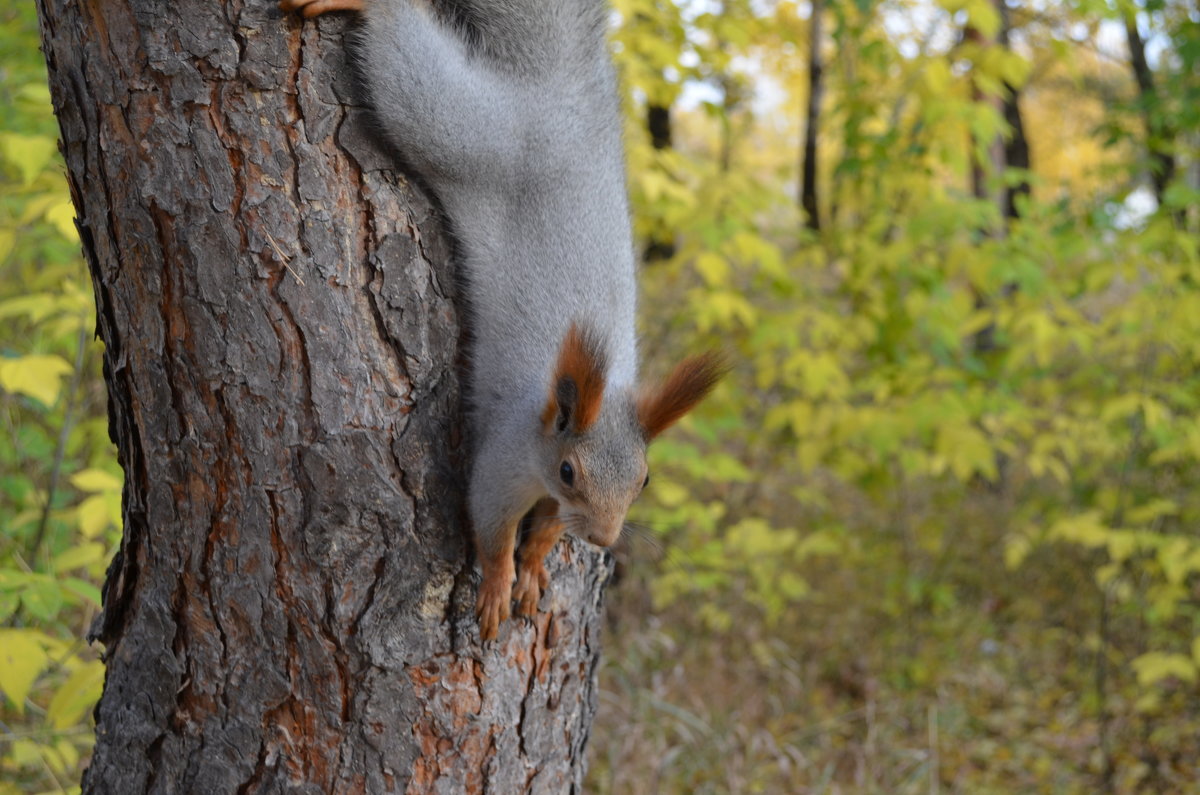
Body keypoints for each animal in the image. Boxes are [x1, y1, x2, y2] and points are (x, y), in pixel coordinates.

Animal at [280, 0, 720, 643]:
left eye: (644, 480)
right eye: (568, 471)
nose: (605, 539)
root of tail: (555, 89)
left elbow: (546, 532)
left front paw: (534, 567)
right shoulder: (503, 459)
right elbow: (490, 528)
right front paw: (495, 586)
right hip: (463, 133)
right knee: (410, 72)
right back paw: (371, 7)